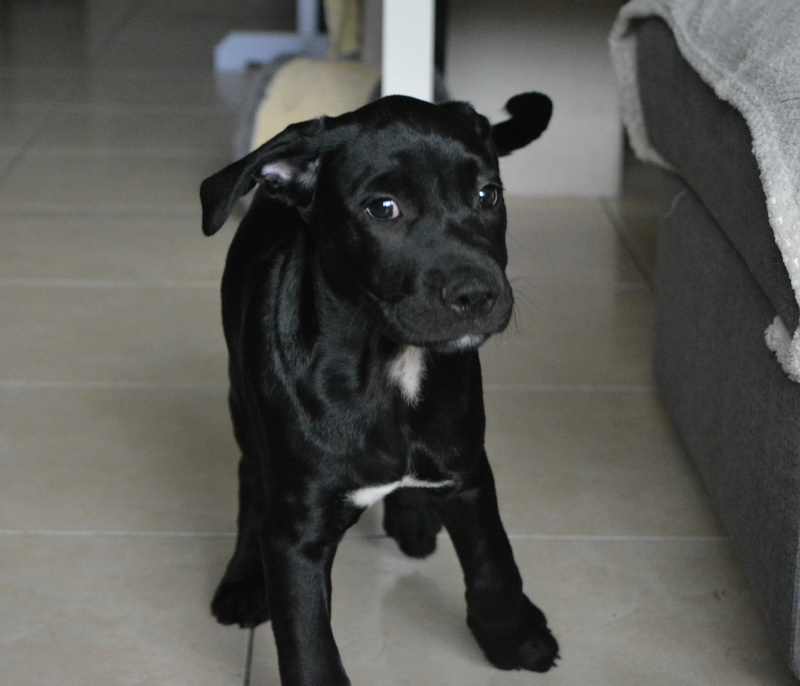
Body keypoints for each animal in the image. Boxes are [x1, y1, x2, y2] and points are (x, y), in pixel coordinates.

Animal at [200, 92, 556, 686]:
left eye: (489, 195)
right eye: (383, 208)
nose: (478, 293)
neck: (389, 365)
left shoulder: (468, 471)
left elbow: (495, 564)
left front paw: (512, 637)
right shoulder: (296, 535)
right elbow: (309, 647)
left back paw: (412, 515)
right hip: (242, 403)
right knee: (251, 480)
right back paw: (244, 580)